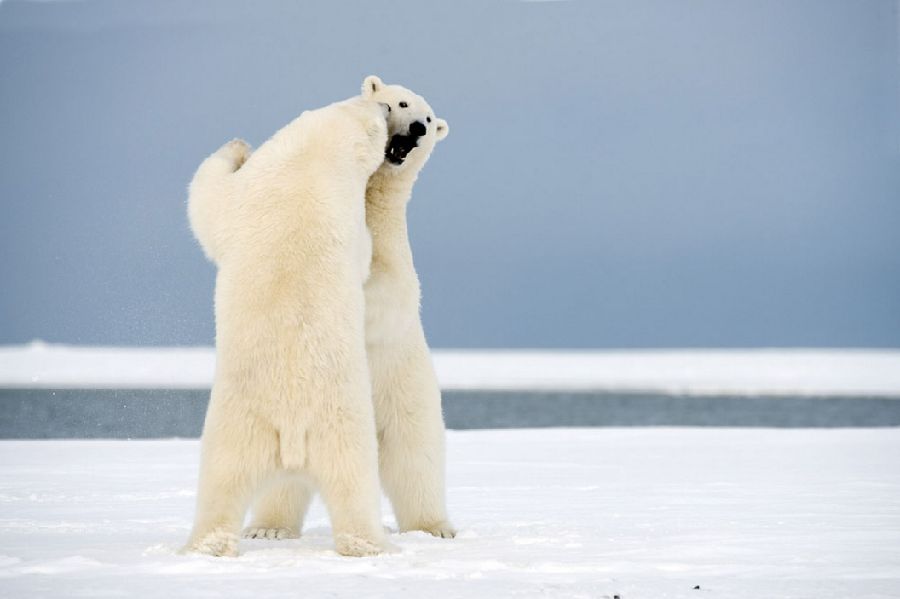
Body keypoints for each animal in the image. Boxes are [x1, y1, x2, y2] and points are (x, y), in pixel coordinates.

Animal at [184, 83, 390, 556]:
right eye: (381, 107)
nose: (389, 106)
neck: (314, 158)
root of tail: (292, 430)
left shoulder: (256, 188)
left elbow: (207, 198)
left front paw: (237, 145)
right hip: (267, 428)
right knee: (227, 483)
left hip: (311, 424)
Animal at [244, 75, 458, 540]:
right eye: (402, 103)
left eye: (430, 118)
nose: (418, 128)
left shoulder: (395, 265)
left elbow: (384, 295)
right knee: (284, 479)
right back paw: (268, 528)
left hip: (406, 397)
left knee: (416, 464)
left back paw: (434, 527)